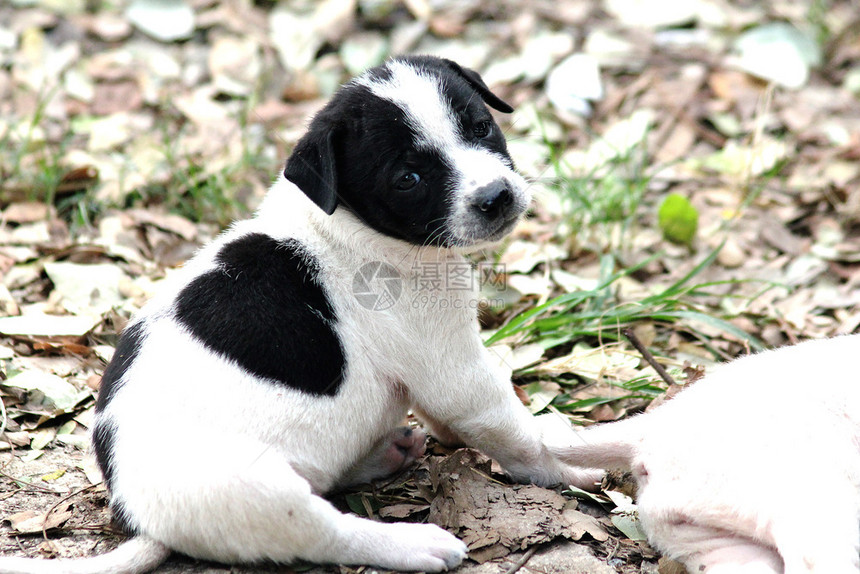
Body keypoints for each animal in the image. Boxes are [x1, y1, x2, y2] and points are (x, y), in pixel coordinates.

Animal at [0, 55, 600, 574]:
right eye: (407, 179)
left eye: (481, 127)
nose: (496, 196)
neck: (349, 227)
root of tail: (139, 516)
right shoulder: (456, 372)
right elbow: (516, 435)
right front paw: (572, 469)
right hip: (259, 490)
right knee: (328, 532)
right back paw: (413, 543)